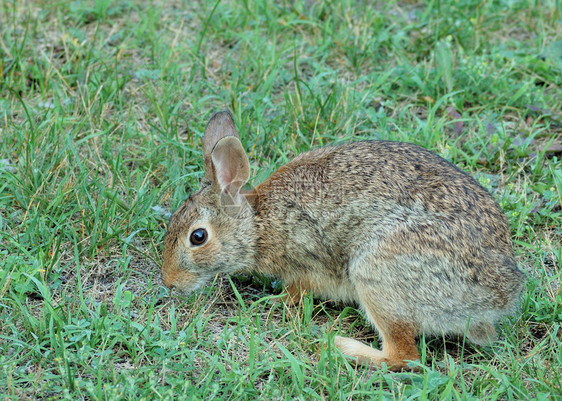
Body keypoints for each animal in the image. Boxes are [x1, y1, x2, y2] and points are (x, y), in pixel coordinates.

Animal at [160, 109, 524, 368]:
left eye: (198, 237)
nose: (169, 283)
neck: (259, 224)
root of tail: (499, 298)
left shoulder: (306, 263)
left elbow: (296, 291)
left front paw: (267, 302)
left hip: (377, 275)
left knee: (404, 356)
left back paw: (340, 346)